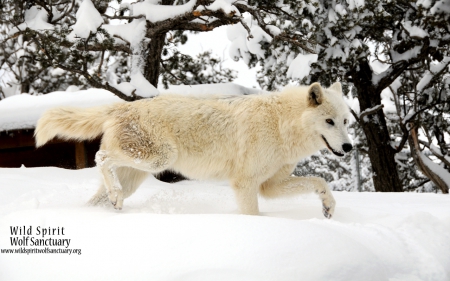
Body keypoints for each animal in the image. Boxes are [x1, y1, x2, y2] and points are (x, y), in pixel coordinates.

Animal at [34, 81, 352, 217]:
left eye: (346, 121)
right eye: (329, 121)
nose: (348, 146)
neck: (280, 123)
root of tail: (124, 105)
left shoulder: (269, 186)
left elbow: (320, 182)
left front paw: (328, 207)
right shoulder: (245, 184)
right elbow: (253, 215)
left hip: (137, 174)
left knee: (97, 196)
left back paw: (111, 204)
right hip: (159, 159)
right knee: (101, 157)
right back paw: (114, 197)